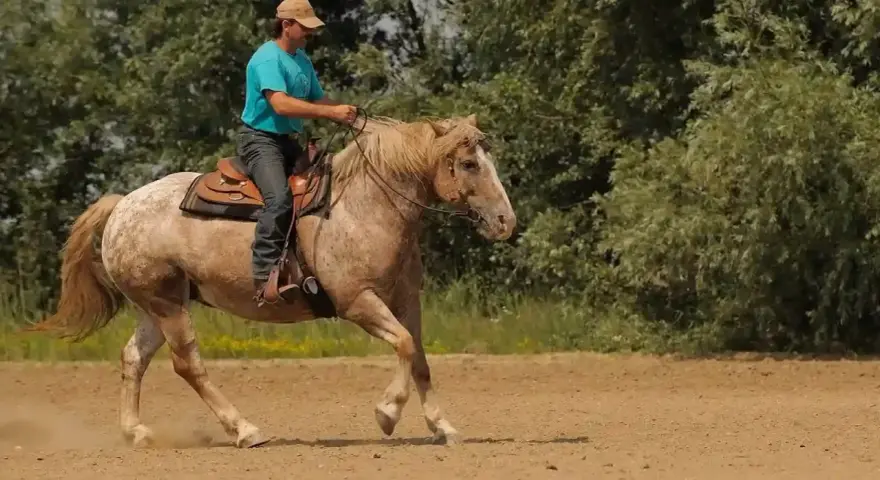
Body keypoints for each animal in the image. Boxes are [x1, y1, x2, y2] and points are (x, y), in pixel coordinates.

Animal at [30, 113, 516, 449]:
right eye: (469, 163)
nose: (505, 221)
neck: (365, 205)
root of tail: (121, 206)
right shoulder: (358, 301)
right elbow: (403, 345)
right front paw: (387, 413)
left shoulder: (405, 300)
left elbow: (419, 357)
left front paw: (443, 427)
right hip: (168, 306)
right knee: (188, 364)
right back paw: (244, 429)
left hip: (156, 306)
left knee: (134, 359)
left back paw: (138, 433)